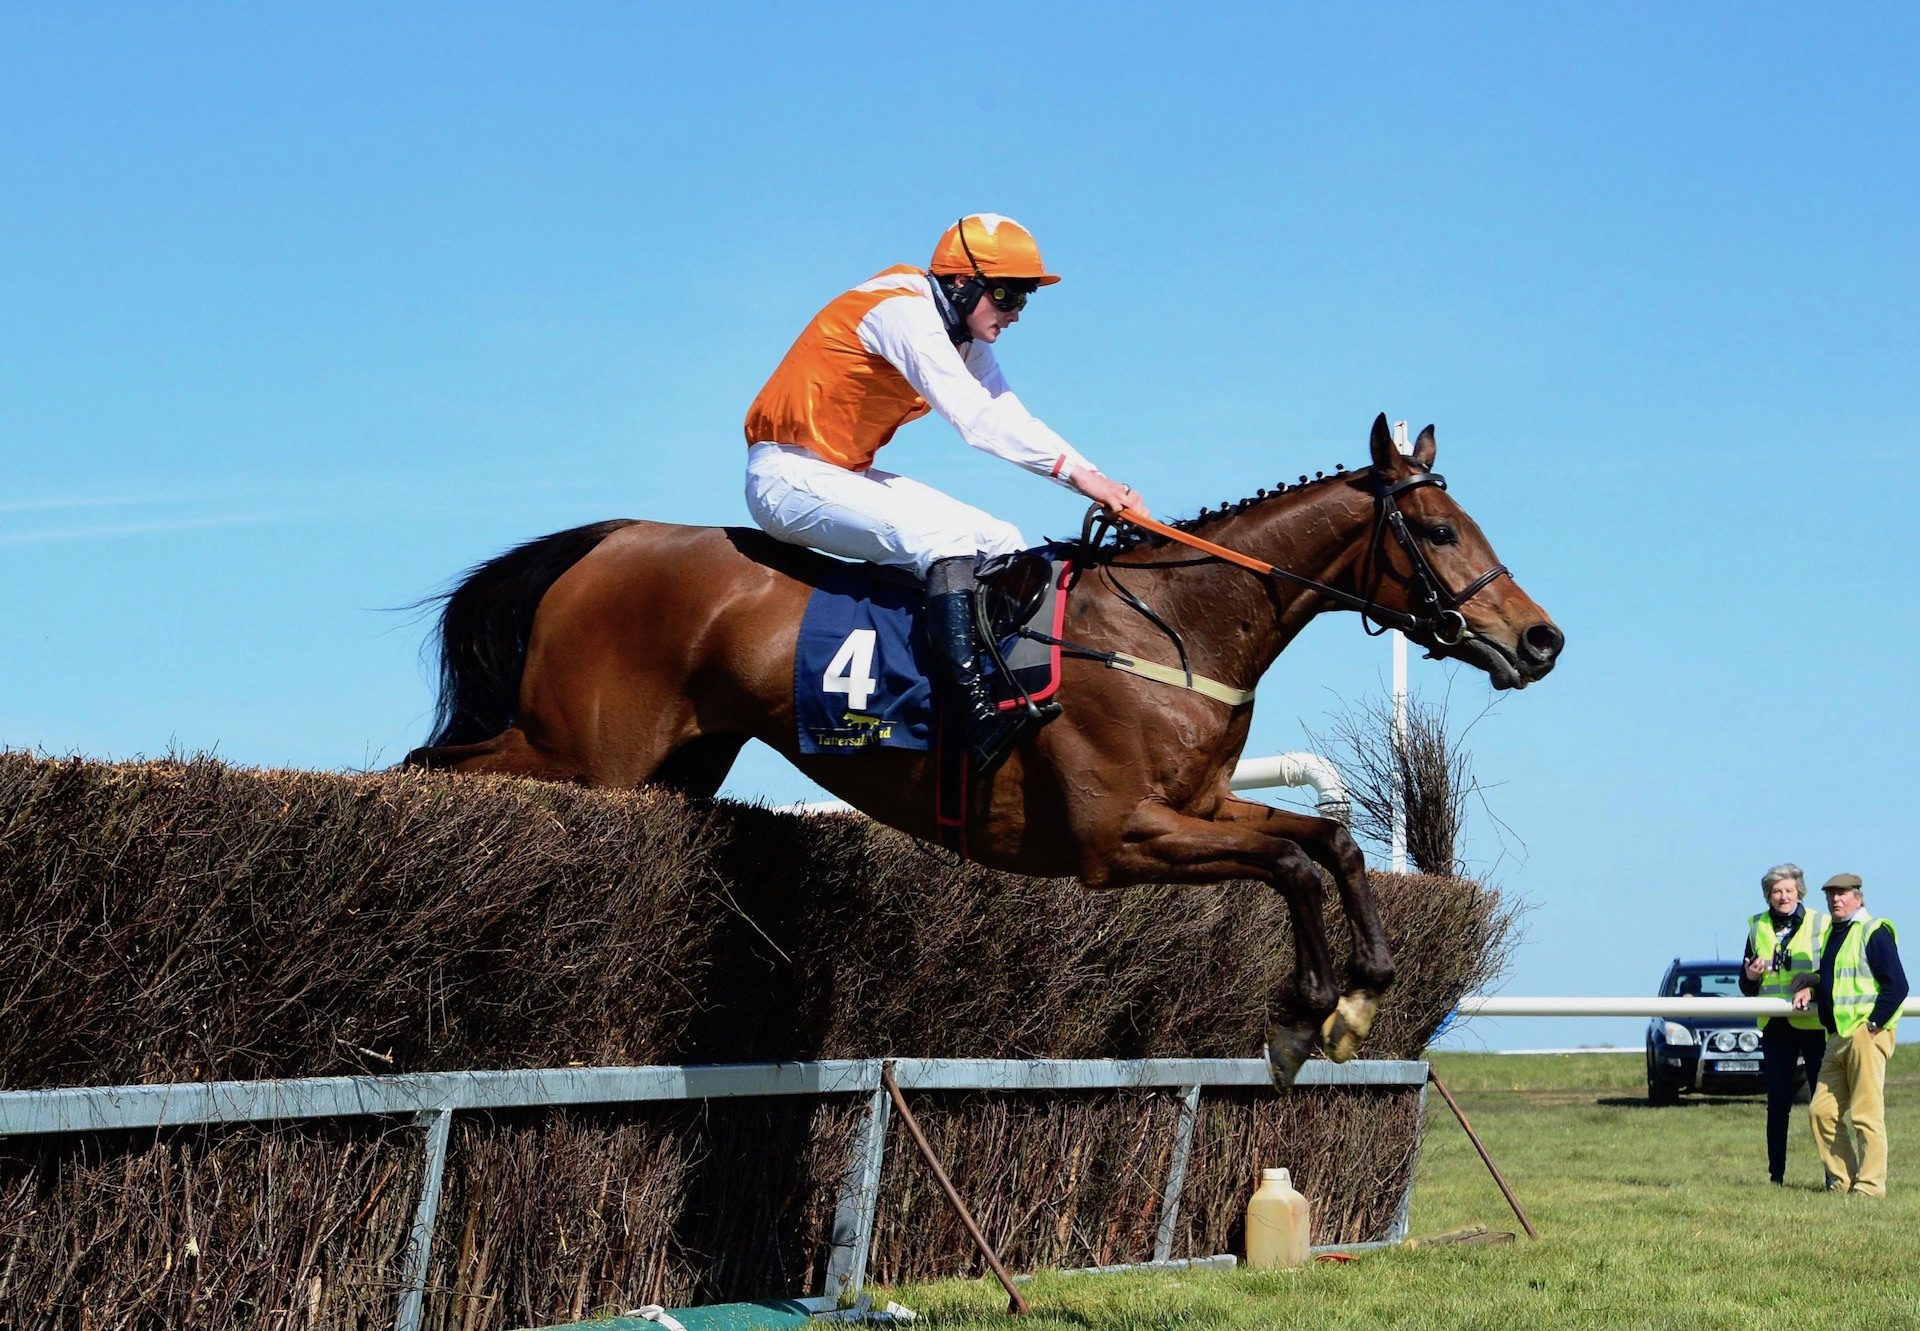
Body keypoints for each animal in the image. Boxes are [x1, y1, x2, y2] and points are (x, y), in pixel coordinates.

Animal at [405, 414, 1559, 1083]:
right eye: (1442, 531)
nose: (1540, 639)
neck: (1174, 624)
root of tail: (606, 540)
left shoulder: (1198, 806)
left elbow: (1333, 844)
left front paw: (1361, 994)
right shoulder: (1117, 838)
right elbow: (1288, 862)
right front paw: (1301, 1011)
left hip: (676, 763)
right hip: (580, 749)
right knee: (435, 770)